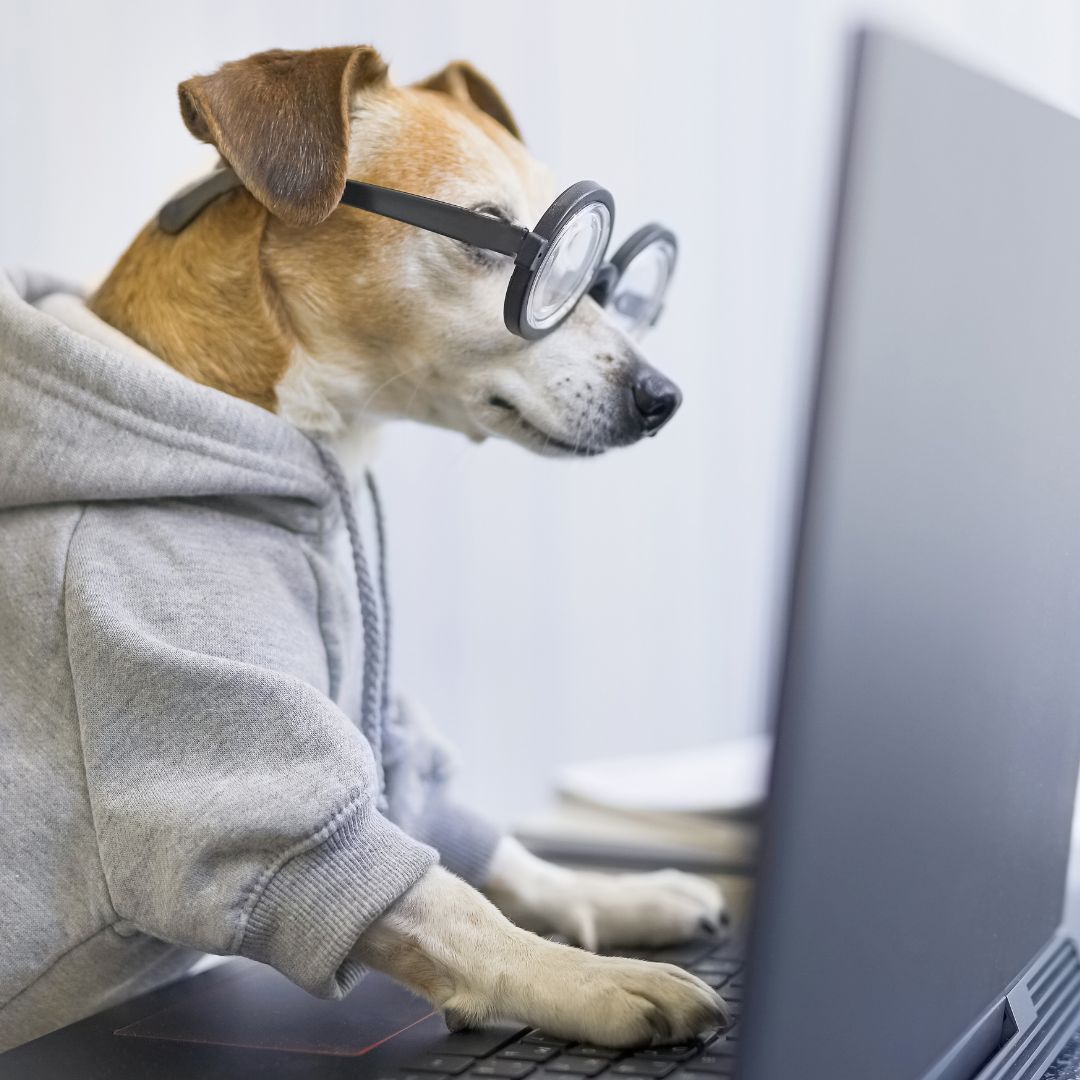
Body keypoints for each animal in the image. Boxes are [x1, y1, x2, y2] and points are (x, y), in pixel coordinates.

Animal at [69, 44, 725, 1045]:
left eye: (610, 271)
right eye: (491, 229)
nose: (663, 397)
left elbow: (491, 852)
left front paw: (618, 898)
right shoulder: (209, 756)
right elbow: (446, 904)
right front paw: (590, 979)